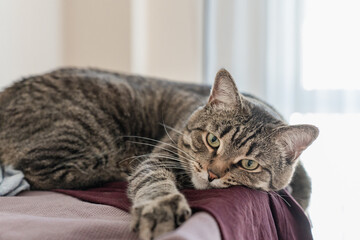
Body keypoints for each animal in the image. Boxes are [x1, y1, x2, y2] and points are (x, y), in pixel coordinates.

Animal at [0, 68, 320, 240]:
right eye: (212, 140)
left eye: (249, 164)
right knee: (38, 171)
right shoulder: (159, 158)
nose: (211, 173)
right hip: (84, 128)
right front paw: (161, 208)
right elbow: (154, 182)